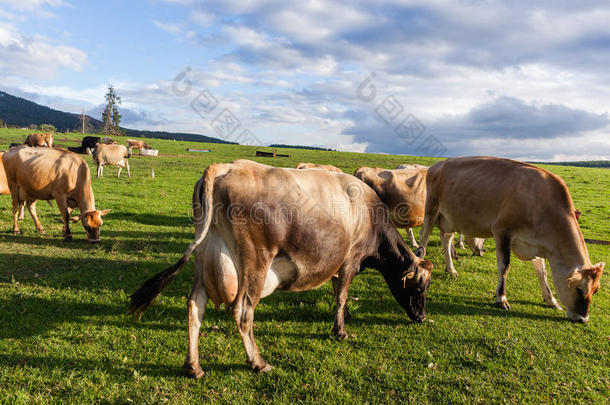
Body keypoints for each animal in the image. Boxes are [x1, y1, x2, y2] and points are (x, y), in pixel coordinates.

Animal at [128, 159, 432, 376]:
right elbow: (342, 296)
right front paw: (341, 331)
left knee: (195, 305)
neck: (370, 215)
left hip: (207, 256)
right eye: (419, 287)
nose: (421, 317)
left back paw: (194, 366)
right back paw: (258, 362)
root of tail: (228, 166)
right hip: (255, 261)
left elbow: (337, 293)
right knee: (242, 310)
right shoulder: (350, 261)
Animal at [416, 155, 600, 322]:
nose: (583, 319)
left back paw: (451, 269)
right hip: (431, 209)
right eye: (579, 290)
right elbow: (504, 266)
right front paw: (501, 298)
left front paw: (551, 300)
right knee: (423, 240)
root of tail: (438, 164)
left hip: (451, 219)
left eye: (596, 290)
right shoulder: (502, 231)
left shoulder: (536, 244)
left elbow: (542, 272)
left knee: (446, 239)